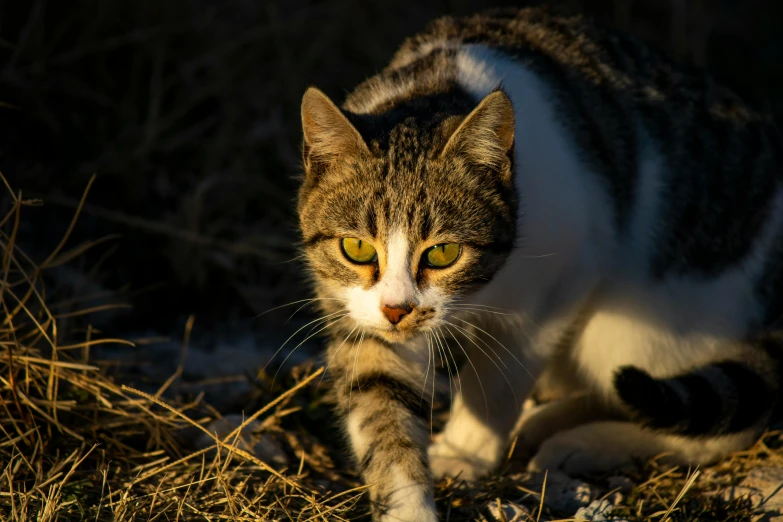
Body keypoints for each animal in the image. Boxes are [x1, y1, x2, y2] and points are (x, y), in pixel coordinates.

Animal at [296, 6, 783, 516]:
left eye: (444, 253)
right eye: (357, 248)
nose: (397, 311)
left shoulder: (562, 278)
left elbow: (498, 381)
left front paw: (465, 450)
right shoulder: (358, 310)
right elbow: (380, 404)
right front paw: (408, 503)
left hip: (649, 322)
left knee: (724, 420)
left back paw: (584, 441)